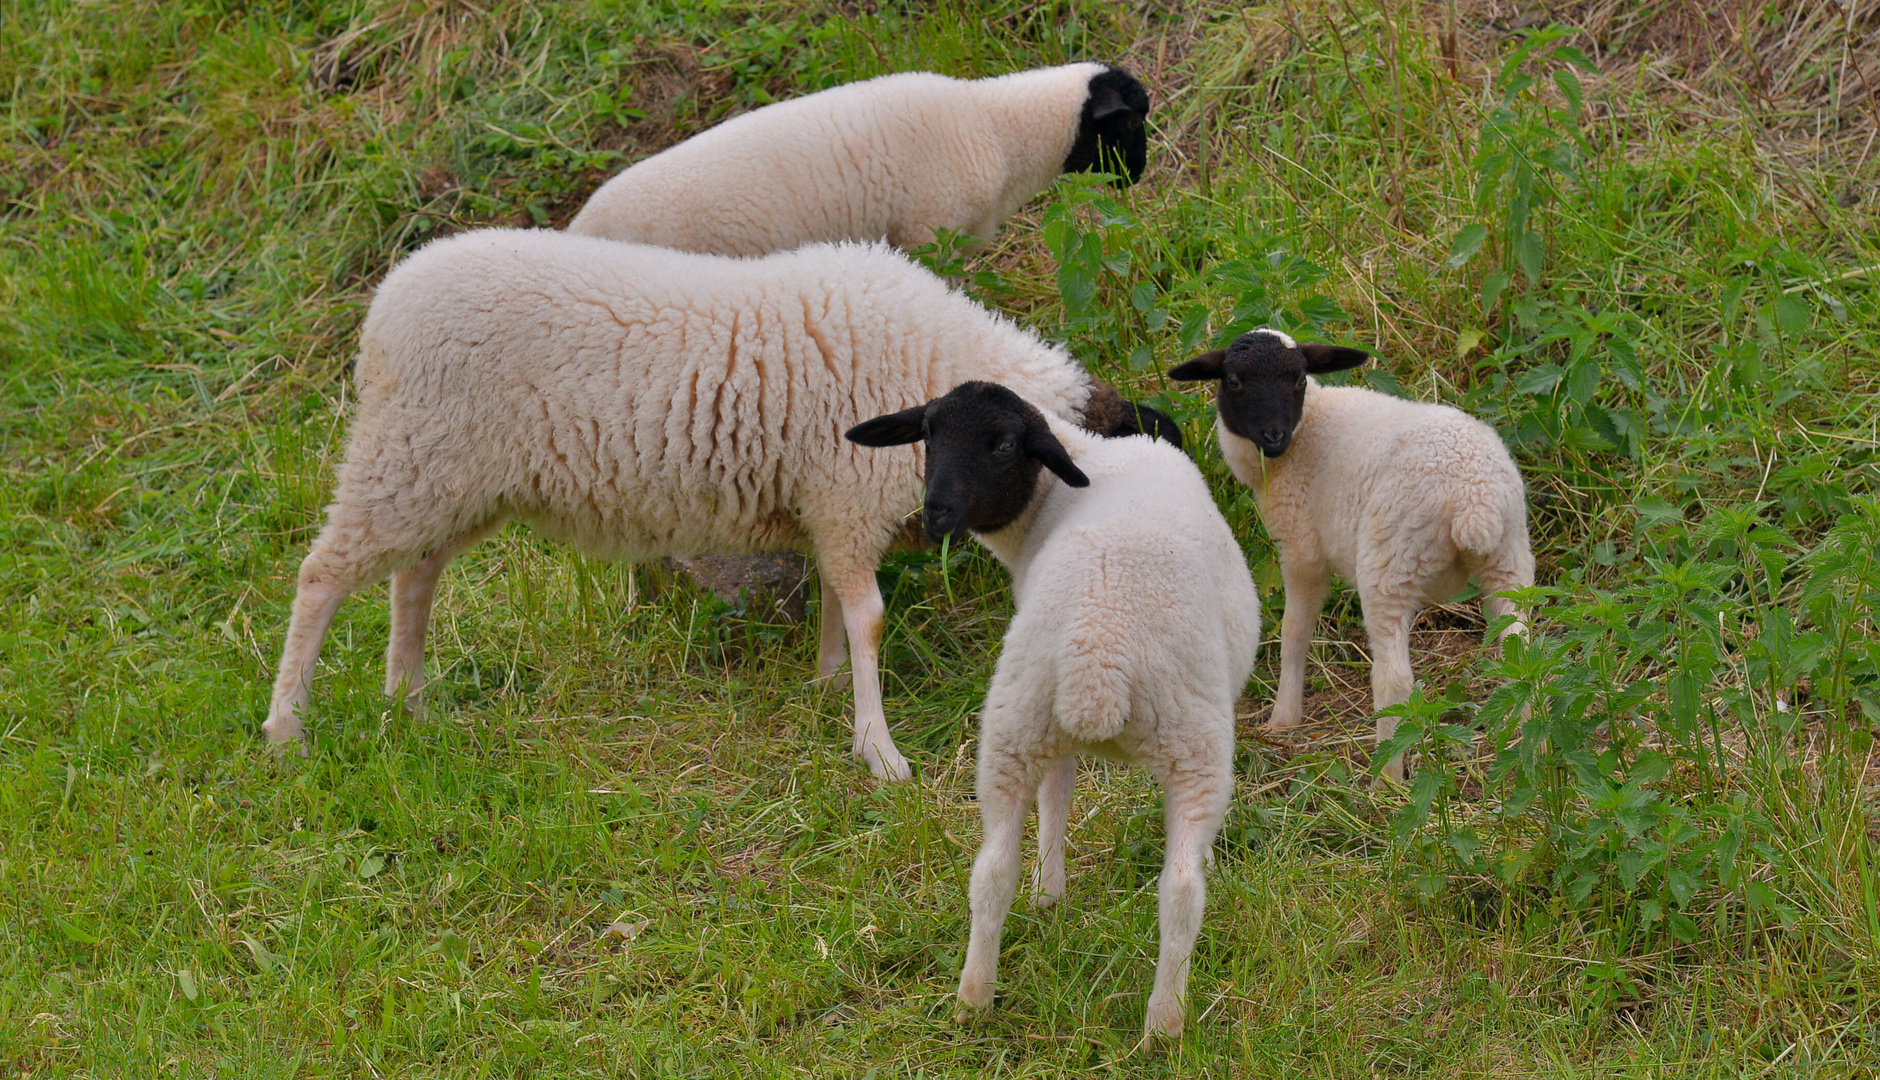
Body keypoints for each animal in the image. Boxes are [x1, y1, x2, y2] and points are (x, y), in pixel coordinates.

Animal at [263, 233, 1165, 782]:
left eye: (1007, 448)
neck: (933, 356)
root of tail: (385, 305)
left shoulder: (825, 504)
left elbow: (837, 603)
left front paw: (825, 684)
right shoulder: (846, 496)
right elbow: (869, 617)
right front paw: (878, 750)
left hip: (453, 479)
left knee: (412, 579)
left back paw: (409, 702)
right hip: (407, 457)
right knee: (321, 575)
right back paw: (286, 727)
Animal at [846, 378, 1255, 1038]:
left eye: (1004, 444)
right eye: (928, 433)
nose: (935, 513)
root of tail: (1100, 659)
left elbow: (1054, 797)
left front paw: (1047, 895)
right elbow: (1061, 794)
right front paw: (1054, 891)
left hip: (1015, 724)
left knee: (990, 872)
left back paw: (973, 999)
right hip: (1197, 746)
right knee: (1182, 892)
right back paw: (1164, 1025)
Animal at [1165, 325, 1534, 782]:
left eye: (1298, 380)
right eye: (1233, 381)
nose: (1274, 436)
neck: (1307, 427)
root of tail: (1474, 499)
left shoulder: (1302, 548)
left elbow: (1293, 633)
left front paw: (1283, 718)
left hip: (1390, 563)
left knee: (1394, 680)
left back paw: (1387, 777)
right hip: (1510, 558)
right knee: (1523, 655)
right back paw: (1529, 744)